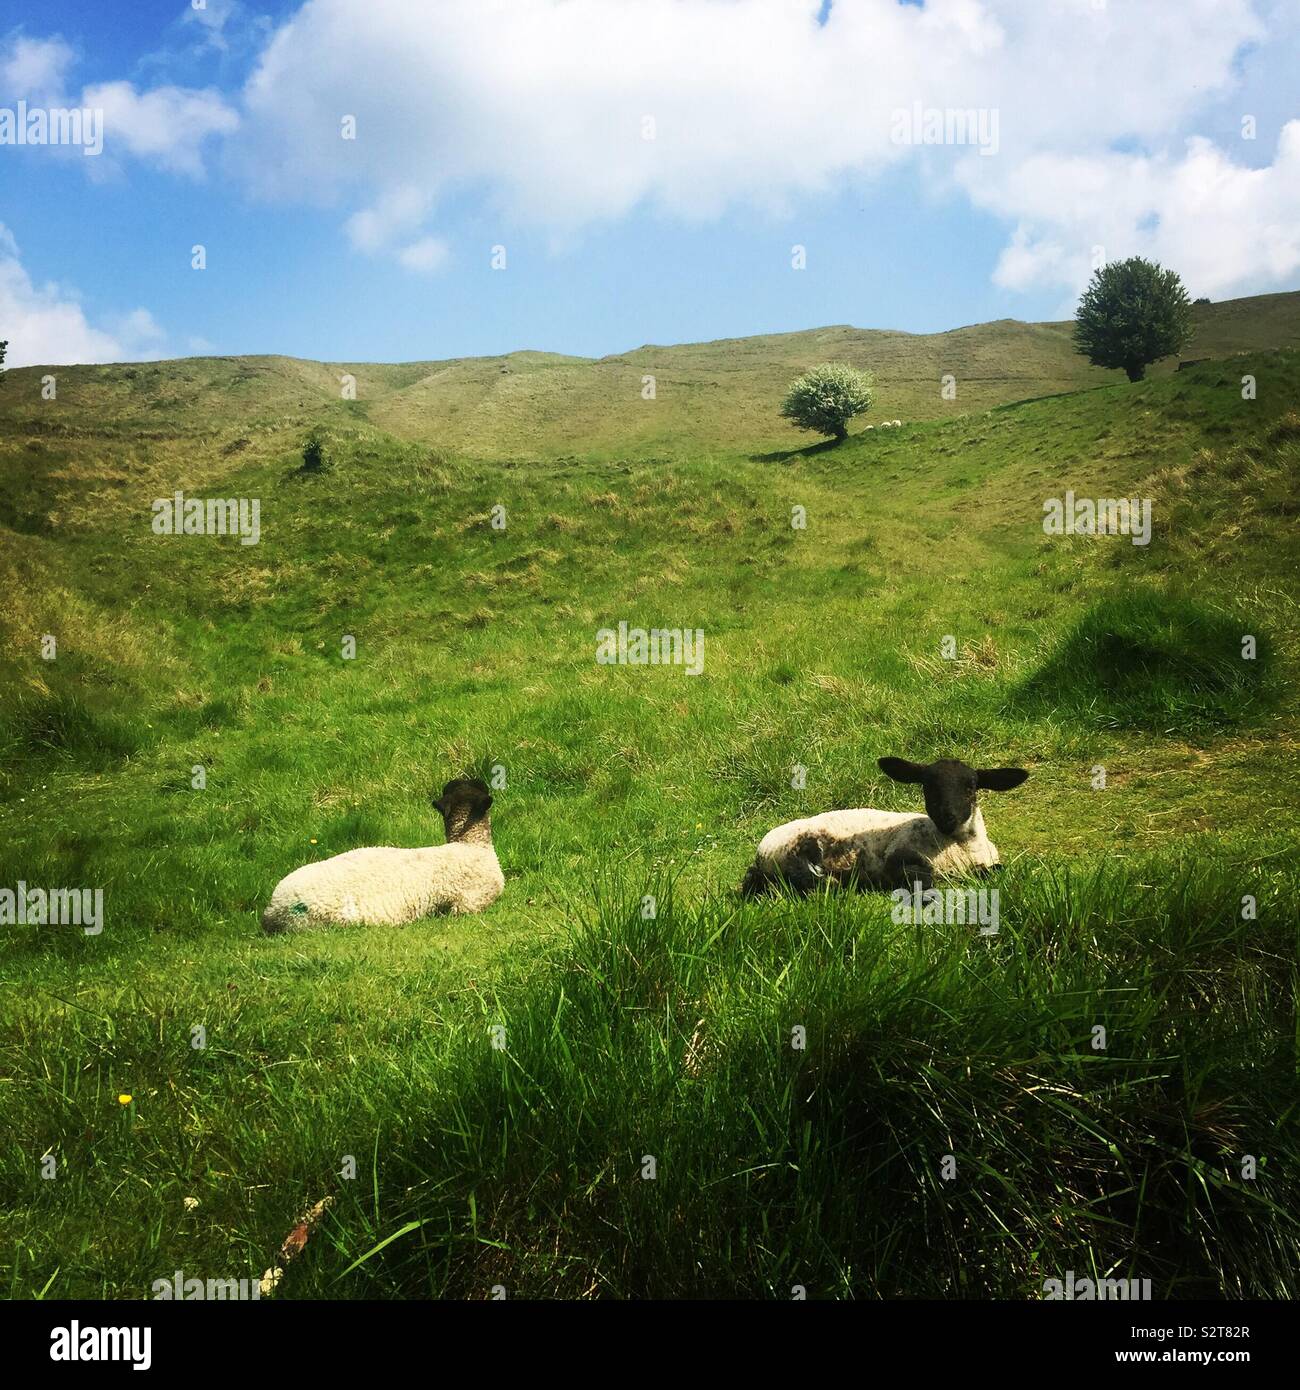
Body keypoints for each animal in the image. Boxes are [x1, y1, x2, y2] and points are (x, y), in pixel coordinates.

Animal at [739, 756, 1028, 895]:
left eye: (971, 787)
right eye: (927, 786)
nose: (947, 817)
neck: (958, 846)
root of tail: (759, 857)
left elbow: (996, 870)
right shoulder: (898, 859)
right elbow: (924, 879)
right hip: (797, 853)